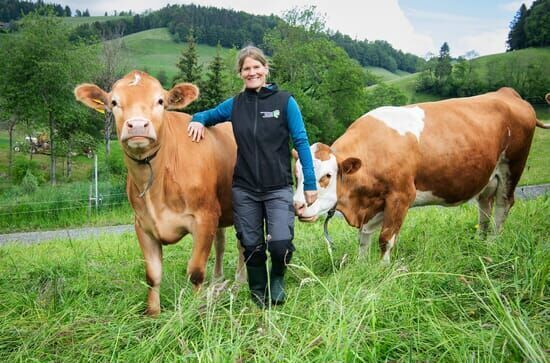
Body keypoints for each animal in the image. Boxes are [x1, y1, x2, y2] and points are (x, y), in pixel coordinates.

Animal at [75, 70, 246, 316]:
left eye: (160, 101)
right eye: (114, 102)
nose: (137, 125)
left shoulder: (204, 218)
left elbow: (195, 271)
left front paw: (194, 311)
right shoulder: (142, 225)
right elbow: (152, 275)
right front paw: (153, 314)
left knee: (243, 244)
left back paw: (241, 281)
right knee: (221, 245)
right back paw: (217, 280)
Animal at [296, 88, 548, 264]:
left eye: (327, 175)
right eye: (296, 174)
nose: (298, 206)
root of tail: (507, 92)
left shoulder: (401, 196)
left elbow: (385, 239)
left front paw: (383, 271)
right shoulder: (373, 205)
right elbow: (364, 237)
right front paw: (361, 266)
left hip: (512, 167)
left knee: (503, 205)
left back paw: (494, 244)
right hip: (488, 177)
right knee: (485, 207)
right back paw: (480, 241)